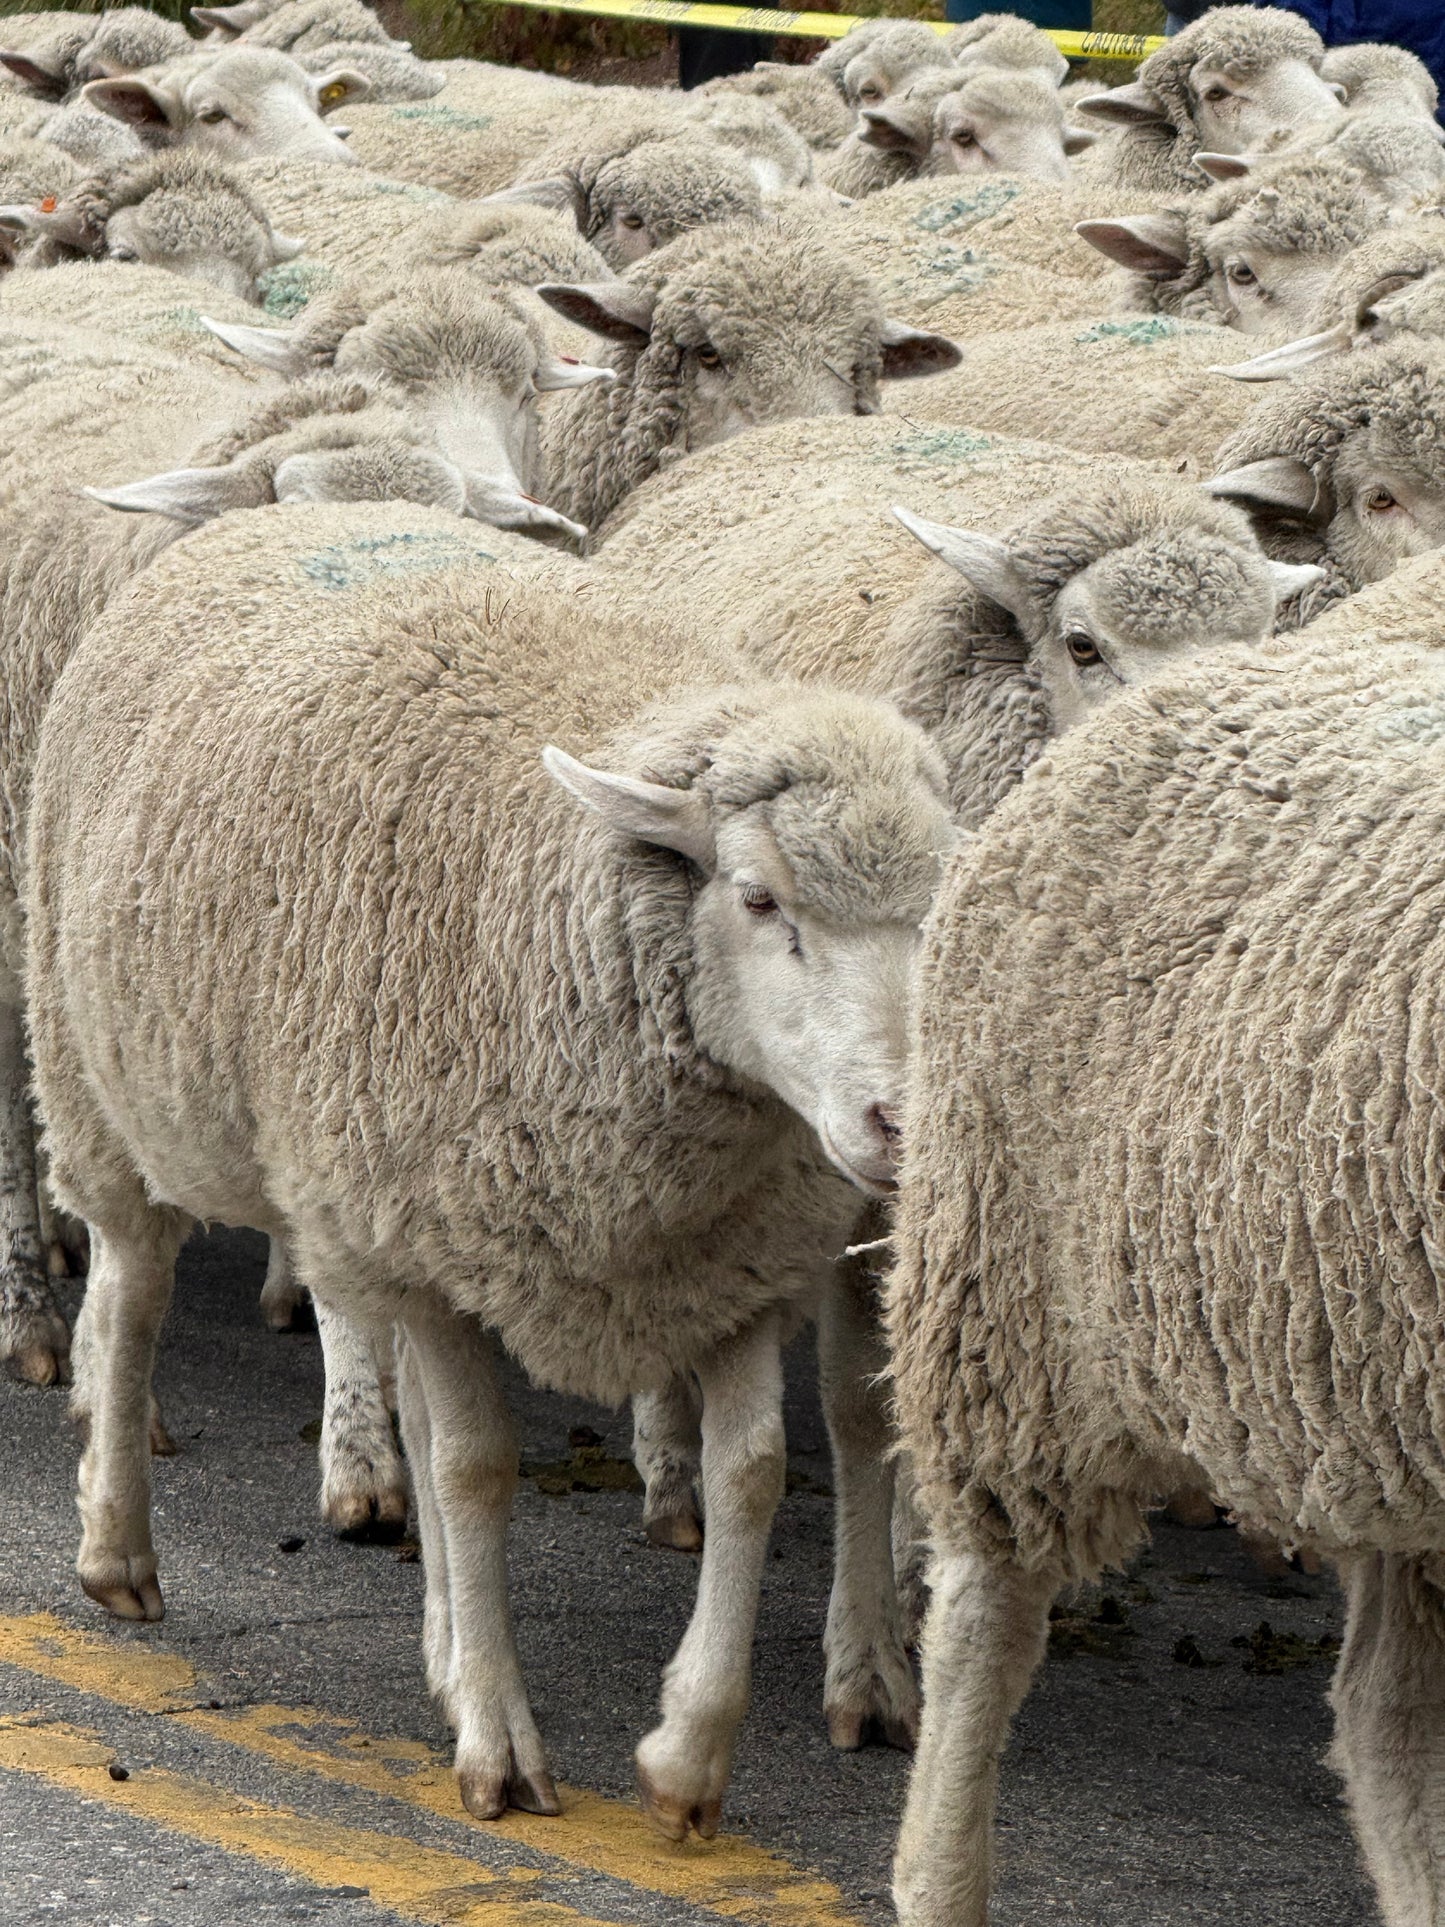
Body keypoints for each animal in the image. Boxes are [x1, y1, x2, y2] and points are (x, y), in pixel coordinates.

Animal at [24, 526, 954, 1837]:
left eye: (933, 908)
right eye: (758, 896)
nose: (900, 1123)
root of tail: (281, 513)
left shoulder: (726, 1265)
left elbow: (752, 1475)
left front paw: (685, 1754)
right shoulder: (431, 1240)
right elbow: (473, 1471)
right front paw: (500, 1746)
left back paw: (439, 1645)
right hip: (110, 1079)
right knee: (132, 1294)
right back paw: (116, 1548)